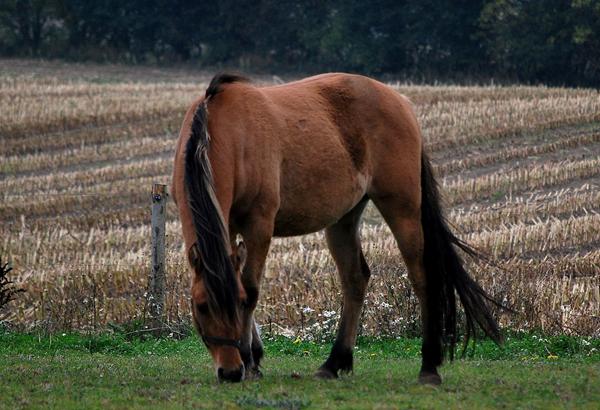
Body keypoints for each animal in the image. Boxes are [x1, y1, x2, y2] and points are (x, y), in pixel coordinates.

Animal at [171, 73, 500, 384]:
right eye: (201, 306)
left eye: (237, 305)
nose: (230, 371)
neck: (228, 132)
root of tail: (401, 102)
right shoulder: (226, 225)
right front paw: (255, 355)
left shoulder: (259, 225)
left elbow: (251, 287)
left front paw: (251, 360)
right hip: (343, 219)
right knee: (355, 279)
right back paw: (334, 362)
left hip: (402, 208)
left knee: (421, 277)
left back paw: (429, 367)